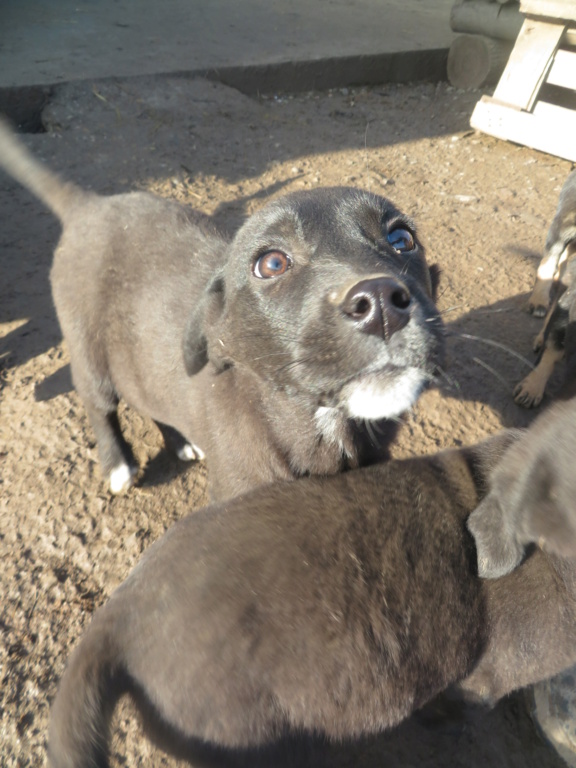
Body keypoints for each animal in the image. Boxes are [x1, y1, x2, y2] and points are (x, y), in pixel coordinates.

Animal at [0, 117, 446, 500]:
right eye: (271, 264)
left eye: (402, 239)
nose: (380, 303)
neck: (325, 426)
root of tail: (91, 206)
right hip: (89, 353)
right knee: (99, 406)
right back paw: (117, 465)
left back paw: (179, 441)